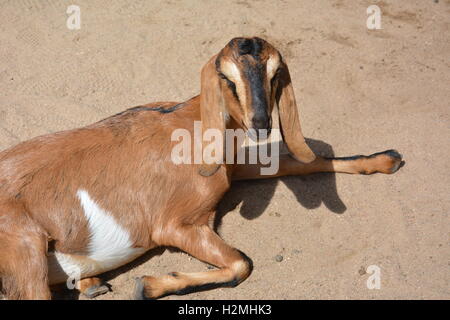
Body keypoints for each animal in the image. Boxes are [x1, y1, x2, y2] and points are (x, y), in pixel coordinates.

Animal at [0, 38, 402, 300]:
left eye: (275, 74)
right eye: (227, 78)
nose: (260, 123)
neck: (190, 124)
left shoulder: (233, 169)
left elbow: (305, 162)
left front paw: (388, 159)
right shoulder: (174, 226)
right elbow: (241, 264)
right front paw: (148, 285)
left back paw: (91, 284)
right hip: (26, 251)